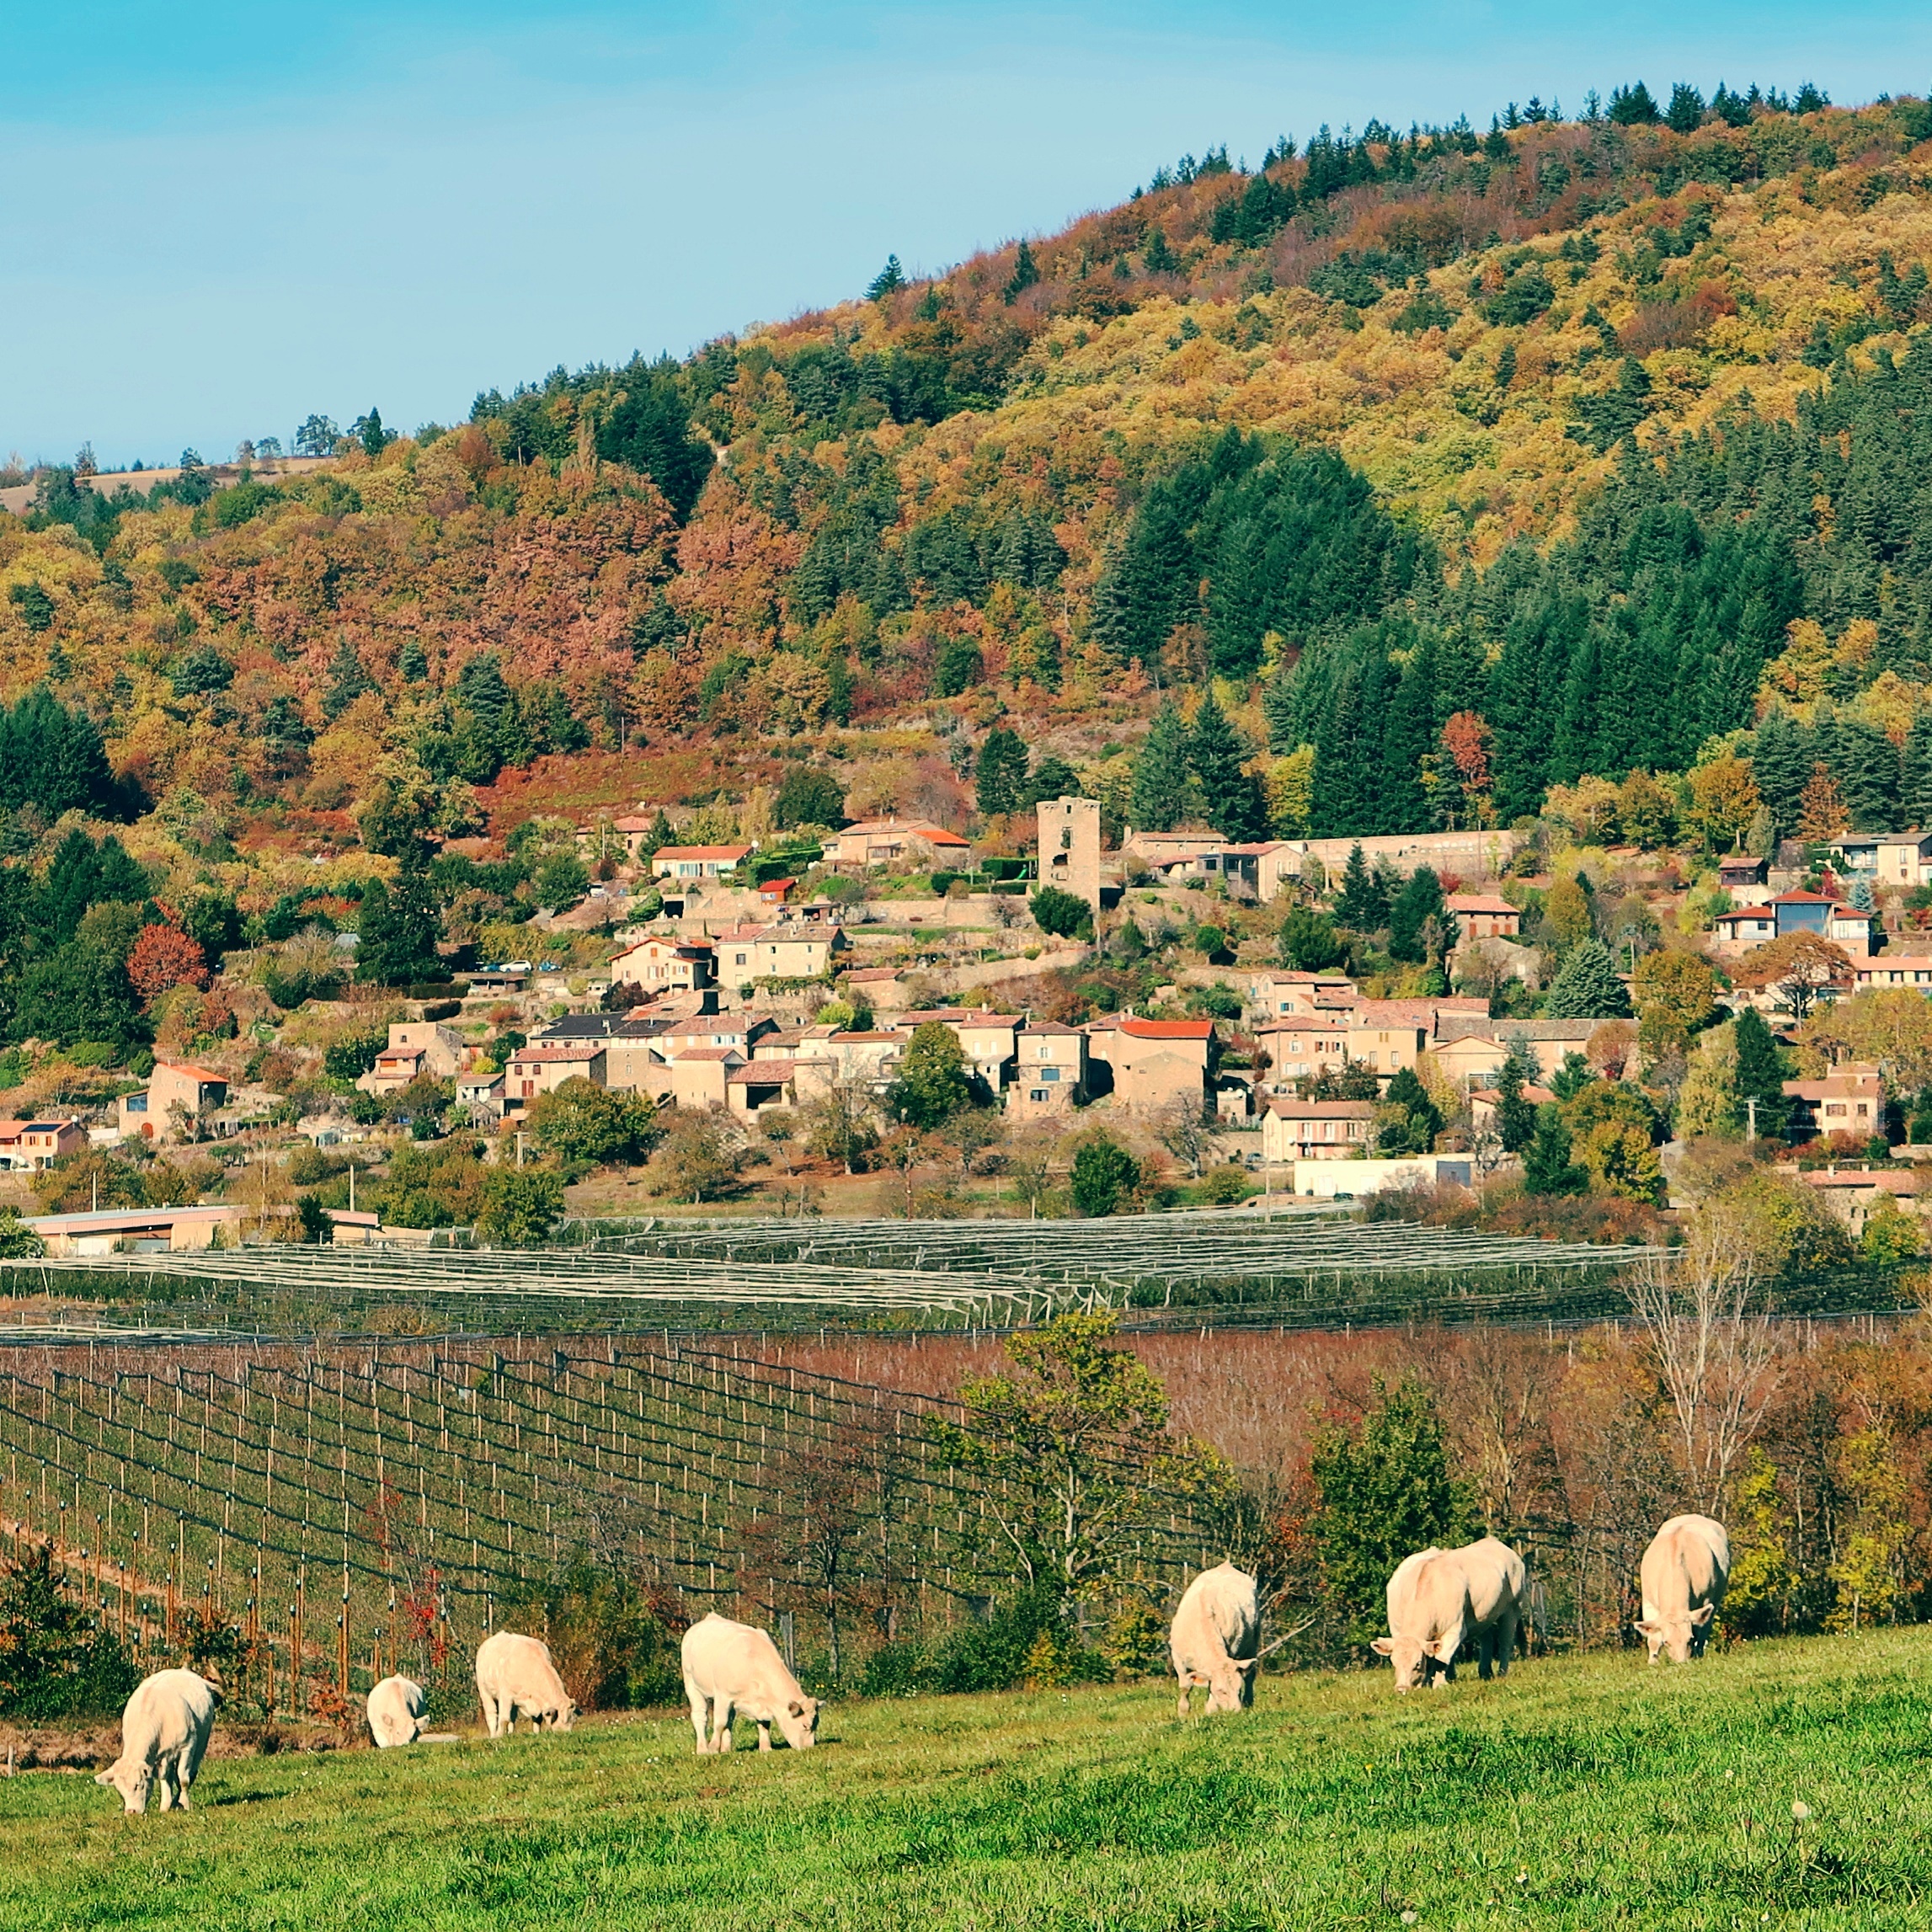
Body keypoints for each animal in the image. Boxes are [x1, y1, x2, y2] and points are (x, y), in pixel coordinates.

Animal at [94, 1669, 220, 1816]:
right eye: (120, 1790)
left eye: (138, 1784)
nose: (131, 1811)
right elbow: (166, 1779)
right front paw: (165, 1806)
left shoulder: (187, 1746)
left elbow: (183, 1779)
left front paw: (184, 1804)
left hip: (202, 1742)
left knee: (191, 1773)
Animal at [680, 1607, 815, 1762]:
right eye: (805, 1725)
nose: (809, 1748)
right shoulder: (722, 1695)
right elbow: (720, 1722)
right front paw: (713, 1748)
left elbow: (763, 1722)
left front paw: (765, 1747)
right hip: (691, 1683)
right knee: (700, 1715)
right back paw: (702, 1749)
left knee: (730, 1720)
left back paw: (726, 1749)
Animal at [1159, 1561, 1267, 1716]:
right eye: (1221, 1691)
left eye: (1238, 1689)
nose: (1236, 1712)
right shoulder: (1178, 1659)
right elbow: (1185, 1687)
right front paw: (1183, 1712)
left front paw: (1211, 1710)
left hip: (1253, 1643)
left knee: (1250, 1675)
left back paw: (1248, 1702)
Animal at [1368, 1538, 1529, 1692]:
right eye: (1393, 1661)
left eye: (1418, 1663)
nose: (1402, 1688)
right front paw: (1428, 1682)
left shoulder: (1455, 1629)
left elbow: (1442, 1658)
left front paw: (1439, 1684)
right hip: (1483, 1618)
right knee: (1487, 1639)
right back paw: (1484, 1672)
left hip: (1513, 1610)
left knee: (1505, 1642)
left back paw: (1502, 1673)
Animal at [1638, 1507, 1731, 1661]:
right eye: (1666, 1642)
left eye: (1689, 1639)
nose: (1681, 1663)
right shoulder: (1648, 1601)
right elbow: (1653, 1638)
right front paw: (1653, 1661)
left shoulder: (1705, 1600)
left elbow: (1699, 1631)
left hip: (1716, 1600)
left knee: (1705, 1628)